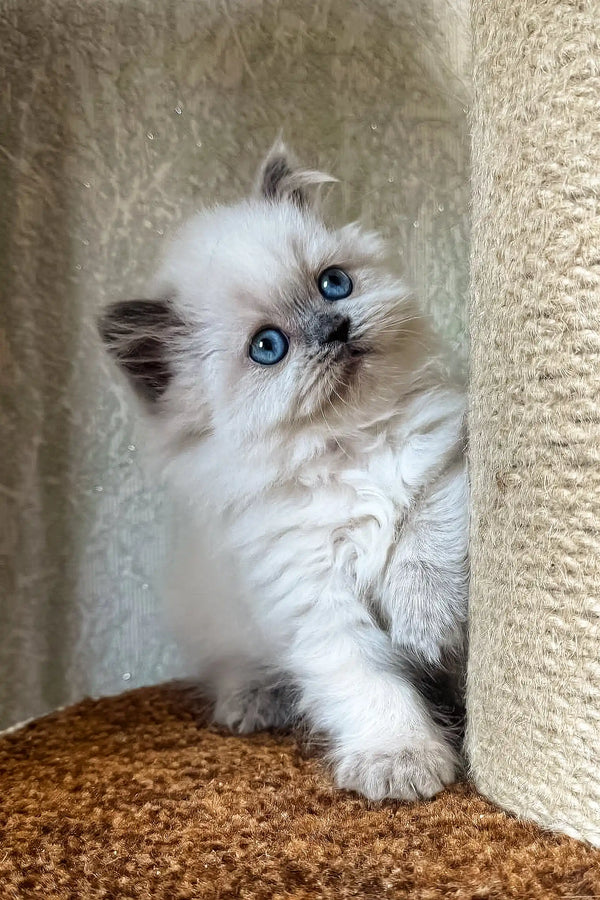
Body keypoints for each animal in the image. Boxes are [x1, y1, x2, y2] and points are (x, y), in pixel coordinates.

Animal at [99, 144, 468, 800]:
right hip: (216, 615)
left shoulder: (447, 466)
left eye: (334, 284)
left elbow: (421, 540)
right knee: (232, 666)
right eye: (268, 347)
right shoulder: (313, 602)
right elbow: (369, 686)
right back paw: (255, 700)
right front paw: (400, 759)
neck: (349, 446)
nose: (335, 328)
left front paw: (425, 625)